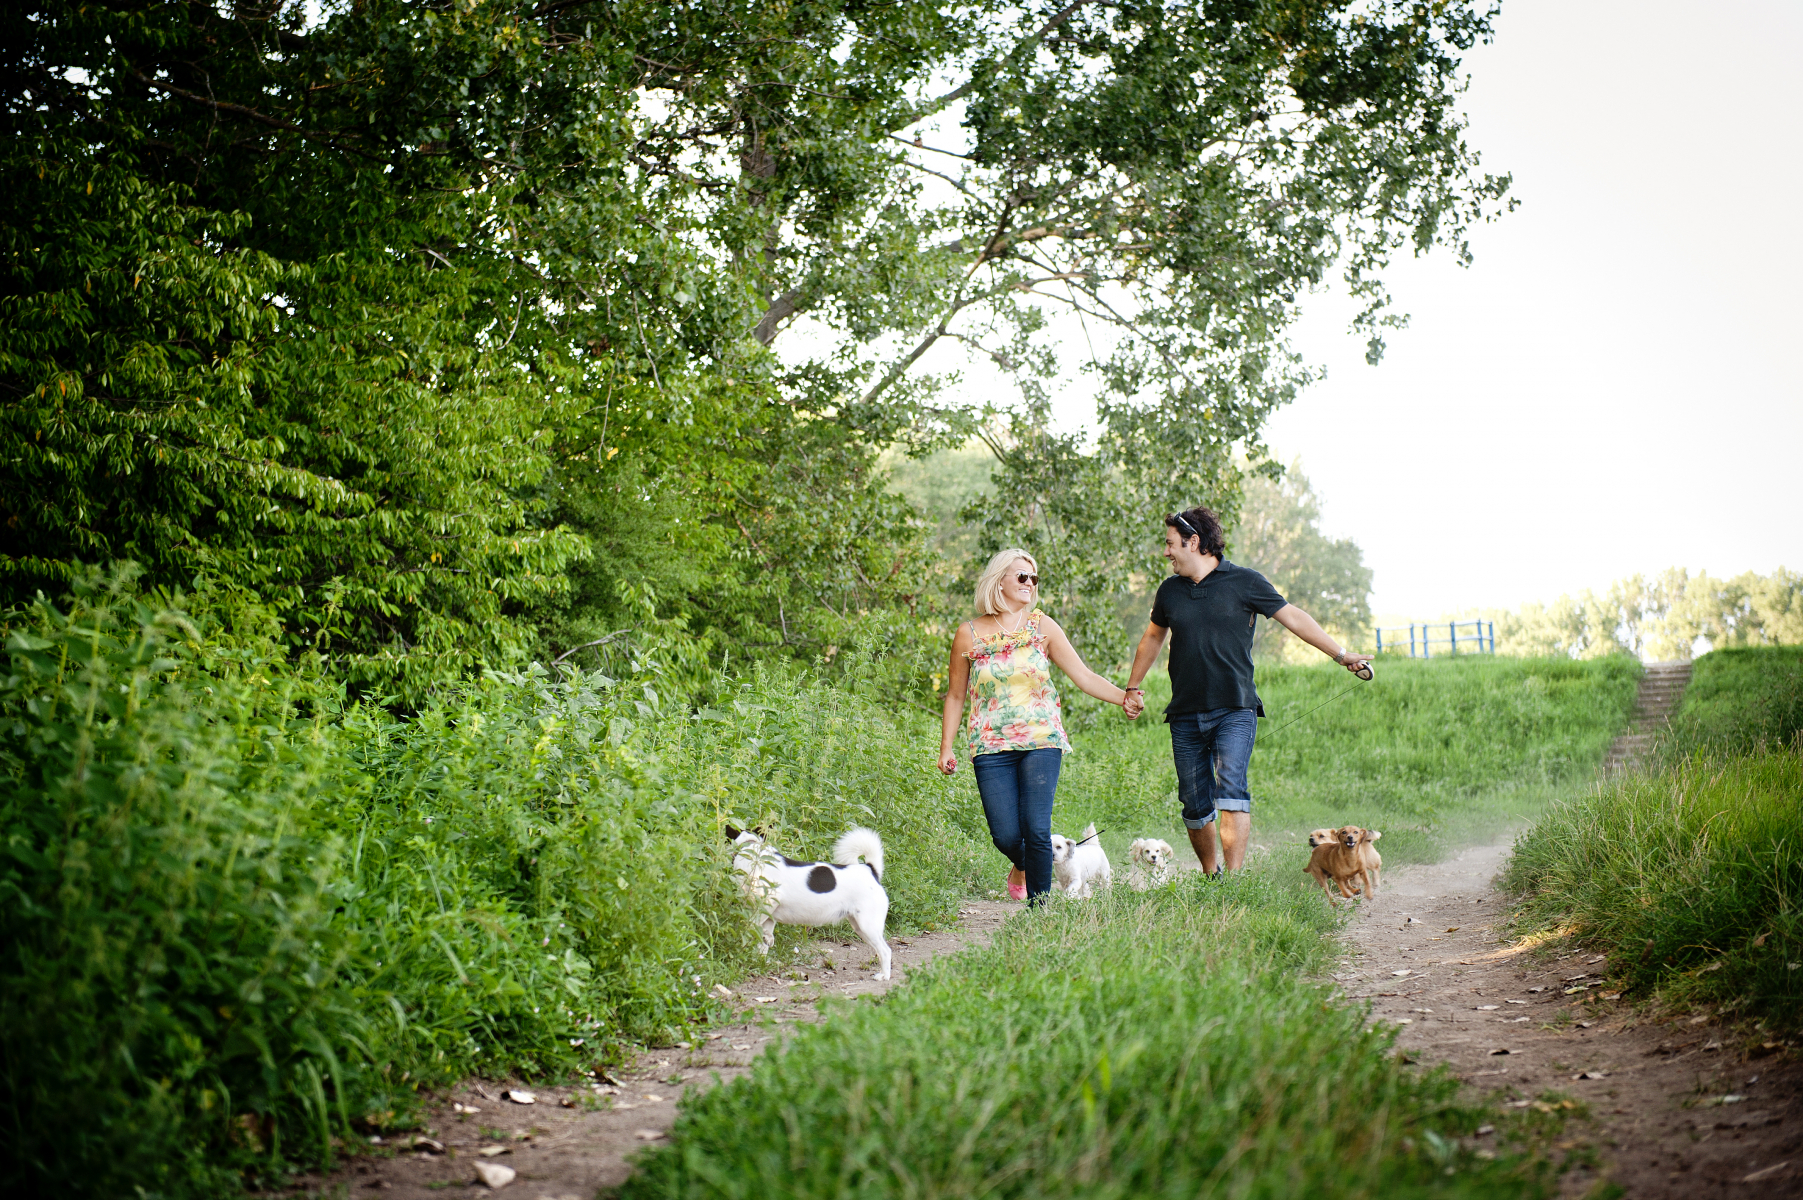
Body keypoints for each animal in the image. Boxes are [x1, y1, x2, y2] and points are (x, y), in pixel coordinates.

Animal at [724, 825, 891, 979]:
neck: (751, 847)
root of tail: (870, 869)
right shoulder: (769, 917)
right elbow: (762, 942)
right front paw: (759, 962)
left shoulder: (768, 901)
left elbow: (751, 927)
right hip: (859, 927)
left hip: (868, 926)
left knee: (885, 951)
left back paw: (884, 976)